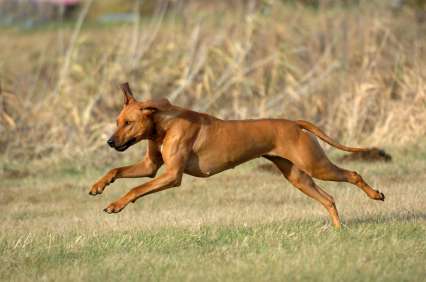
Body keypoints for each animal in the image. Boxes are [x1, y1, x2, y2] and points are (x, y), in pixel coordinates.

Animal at [88, 82, 384, 228]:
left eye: (129, 123)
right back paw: (337, 229)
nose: (110, 142)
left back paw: (375, 195)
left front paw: (116, 204)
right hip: (298, 176)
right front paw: (99, 185)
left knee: (353, 174)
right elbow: (117, 171)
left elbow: (136, 188)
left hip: (315, 165)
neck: (164, 125)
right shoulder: (151, 166)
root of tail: (293, 122)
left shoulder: (172, 175)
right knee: (328, 198)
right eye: (117, 121)